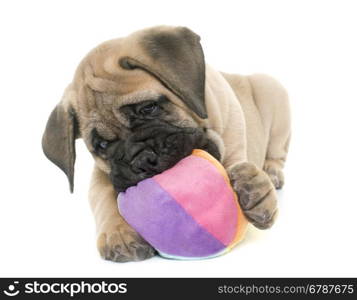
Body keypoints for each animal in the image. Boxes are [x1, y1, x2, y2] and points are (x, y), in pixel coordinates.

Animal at [41, 25, 290, 262]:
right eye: (102, 145)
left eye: (149, 108)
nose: (142, 160)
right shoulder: (102, 176)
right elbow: (105, 199)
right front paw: (118, 232)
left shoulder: (235, 151)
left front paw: (257, 191)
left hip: (273, 91)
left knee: (278, 152)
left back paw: (271, 173)